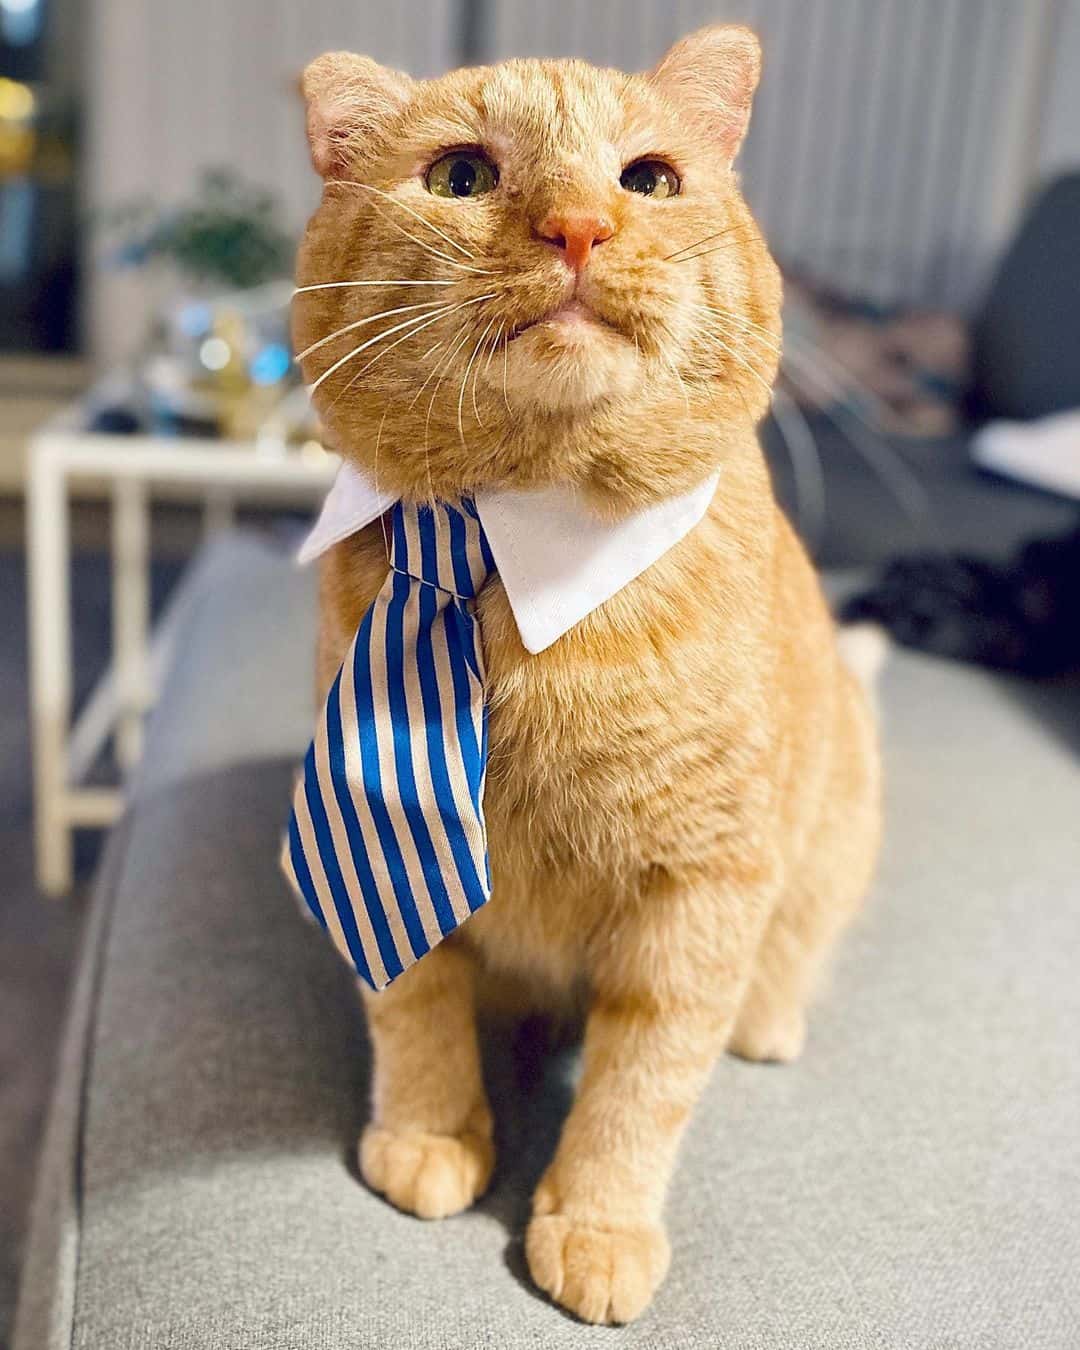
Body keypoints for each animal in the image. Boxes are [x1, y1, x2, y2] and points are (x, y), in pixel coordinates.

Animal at [292, 26, 874, 1323]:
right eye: (462, 176)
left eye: (647, 180)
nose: (577, 229)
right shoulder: (381, 846)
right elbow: (414, 1005)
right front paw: (431, 1136)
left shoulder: (703, 891)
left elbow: (639, 1086)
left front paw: (597, 1225)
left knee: (794, 954)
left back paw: (770, 1024)